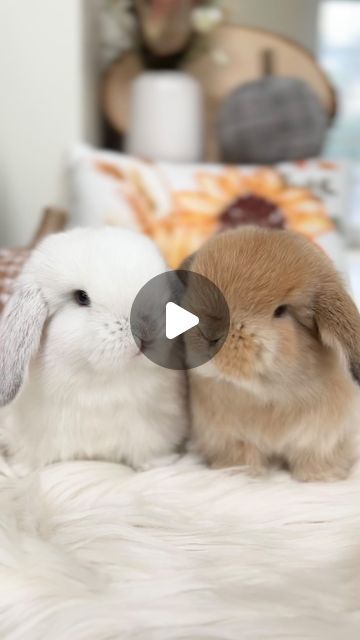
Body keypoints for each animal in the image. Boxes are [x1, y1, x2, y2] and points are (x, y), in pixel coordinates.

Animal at [184, 226, 360, 480]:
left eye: (281, 311)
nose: (209, 333)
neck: (267, 398)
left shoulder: (323, 436)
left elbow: (315, 457)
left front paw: (320, 477)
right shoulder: (228, 437)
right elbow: (241, 457)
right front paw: (238, 473)